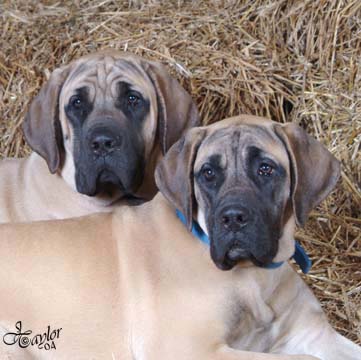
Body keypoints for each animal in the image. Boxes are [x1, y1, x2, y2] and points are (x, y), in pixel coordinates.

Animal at [0, 116, 358, 358]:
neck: (252, 277)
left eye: (266, 169)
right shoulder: (192, 349)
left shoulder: (314, 334)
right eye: (208, 173)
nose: (233, 218)